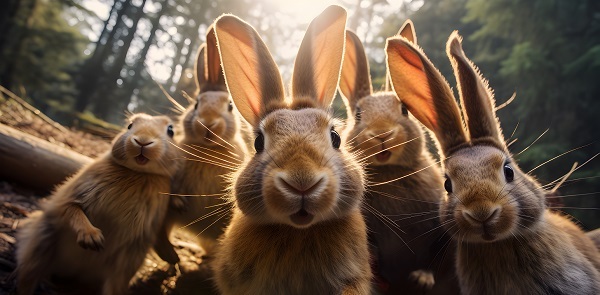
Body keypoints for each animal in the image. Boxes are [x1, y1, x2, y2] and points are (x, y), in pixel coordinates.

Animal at [14, 114, 178, 295]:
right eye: (129, 125)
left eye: (171, 131)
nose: (142, 141)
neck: (138, 172)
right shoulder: (69, 198)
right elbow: (72, 210)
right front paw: (92, 238)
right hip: (41, 241)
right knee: (28, 276)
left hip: (127, 262)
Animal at [155, 26, 251, 266]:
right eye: (196, 104)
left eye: (230, 107)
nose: (207, 123)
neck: (208, 150)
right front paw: (180, 202)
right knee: (160, 235)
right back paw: (172, 257)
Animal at [338, 20, 460, 295]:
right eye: (358, 114)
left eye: (404, 110)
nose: (382, 133)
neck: (390, 172)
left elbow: (434, 258)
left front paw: (422, 278)